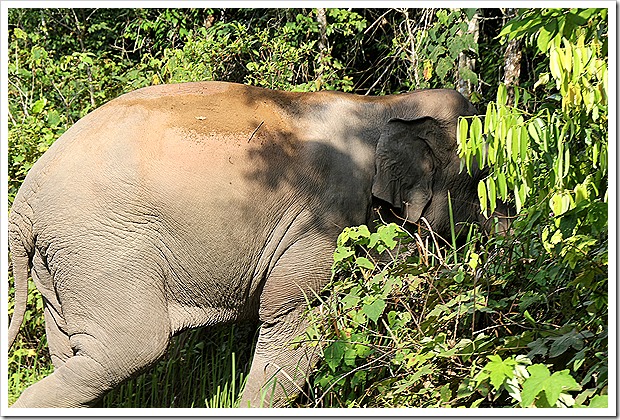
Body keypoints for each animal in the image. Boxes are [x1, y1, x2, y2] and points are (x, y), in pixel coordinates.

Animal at [7, 80, 508, 408]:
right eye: (485, 176)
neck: (383, 106)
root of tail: (23, 204)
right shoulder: (323, 220)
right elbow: (297, 315)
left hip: (63, 263)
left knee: (74, 354)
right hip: (103, 247)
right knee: (128, 348)